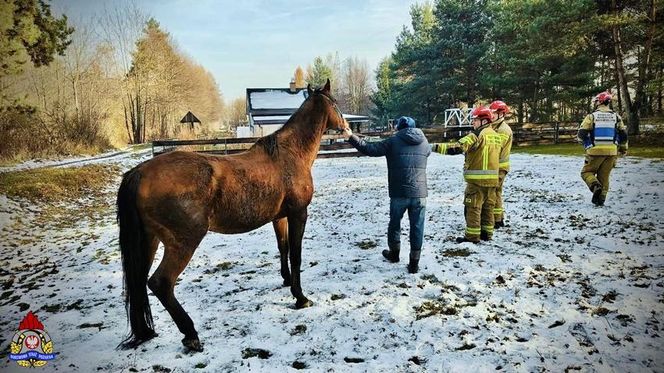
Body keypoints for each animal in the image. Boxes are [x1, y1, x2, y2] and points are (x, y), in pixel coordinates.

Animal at [116, 80, 350, 350]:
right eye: (335, 104)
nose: (346, 127)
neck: (290, 153)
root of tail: (140, 172)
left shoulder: (279, 217)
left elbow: (283, 248)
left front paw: (286, 281)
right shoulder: (298, 213)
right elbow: (296, 255)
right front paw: (300, 297)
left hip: (149, 242)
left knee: (139, 282)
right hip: (183, 242)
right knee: (160, 283)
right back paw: (191, 333)